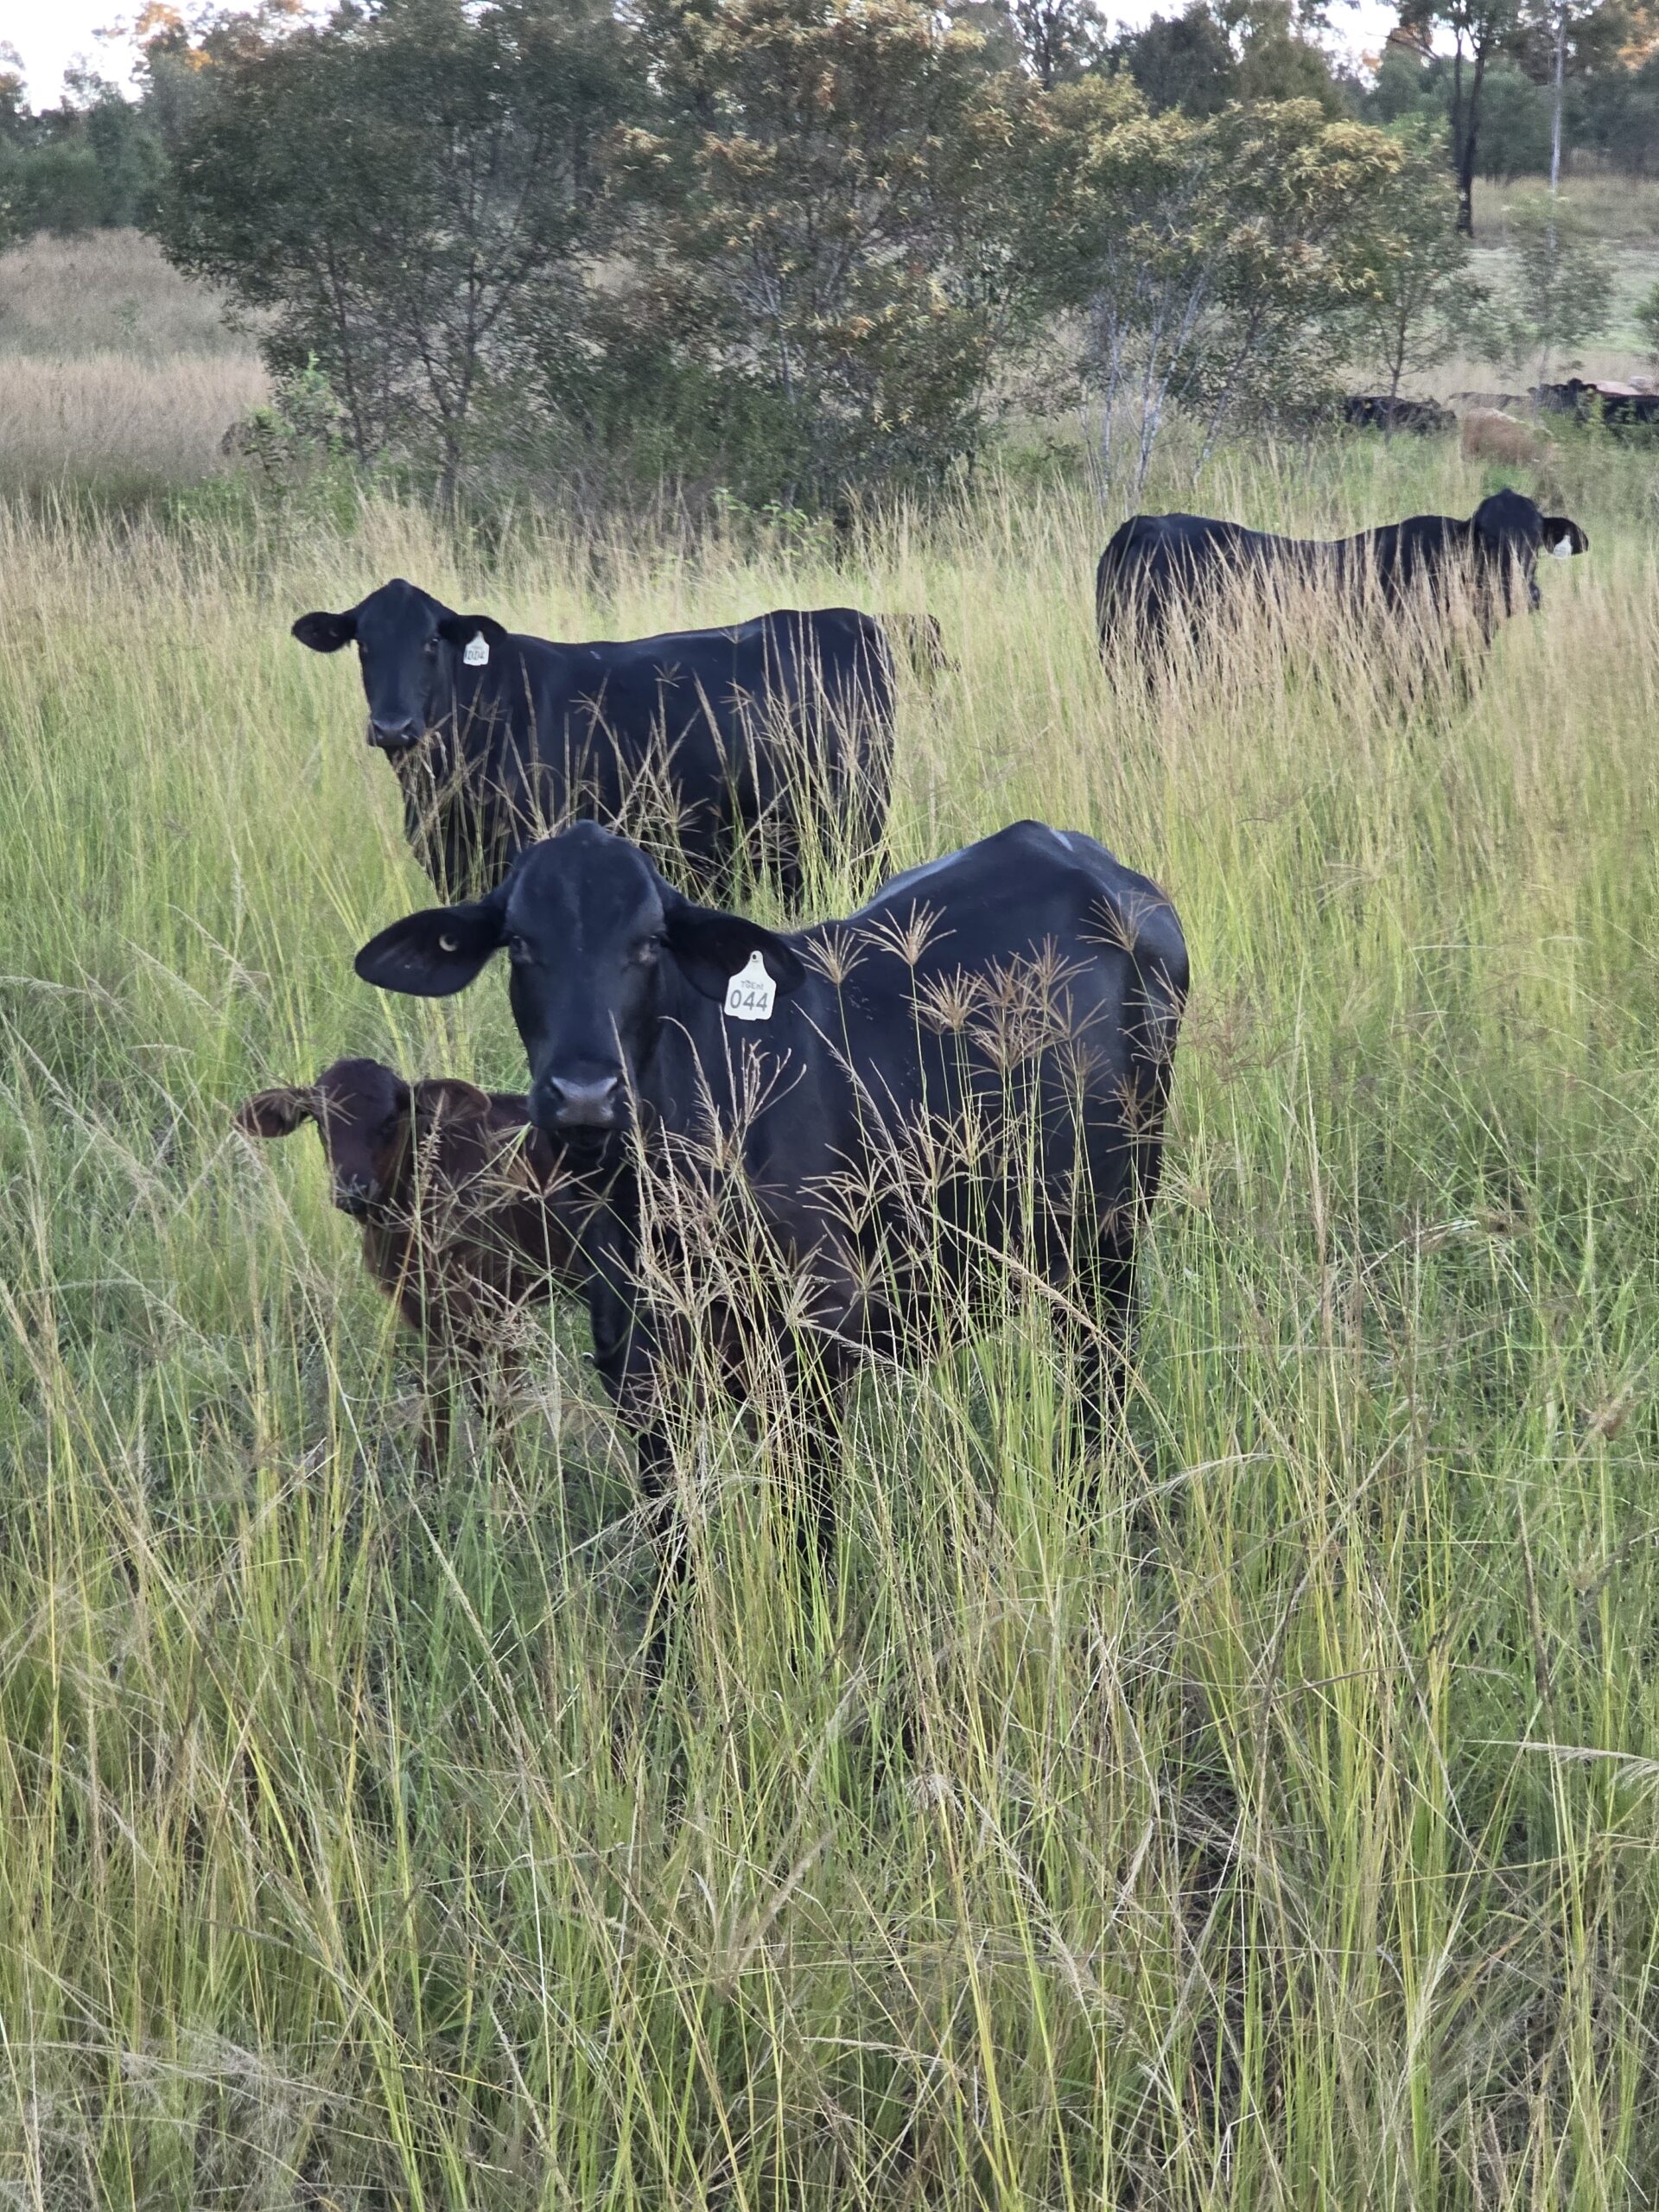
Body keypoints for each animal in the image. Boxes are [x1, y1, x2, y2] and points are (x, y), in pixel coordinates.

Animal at [234, 1058, 600, 1458]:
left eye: (391, 1119)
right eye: (319, 1120)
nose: (353, 1190)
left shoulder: (496, 1306)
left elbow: (494, 1404)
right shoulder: (428, 1311)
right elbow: (441, 1402)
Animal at [291, 578, 898, 905]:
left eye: (431, 641)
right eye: (363, 644)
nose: (393, 726)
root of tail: (846, 620)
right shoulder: (446, 862)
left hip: (852, 824)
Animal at [353, 820, 1189, 1627]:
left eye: (649, 941)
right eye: (520, 941)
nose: (585, 1094)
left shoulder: (815, 1351)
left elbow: (807, 1536)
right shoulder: (639, 1374)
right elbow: (673, 1558)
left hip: (1111, 1243)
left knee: (1102, 1387)